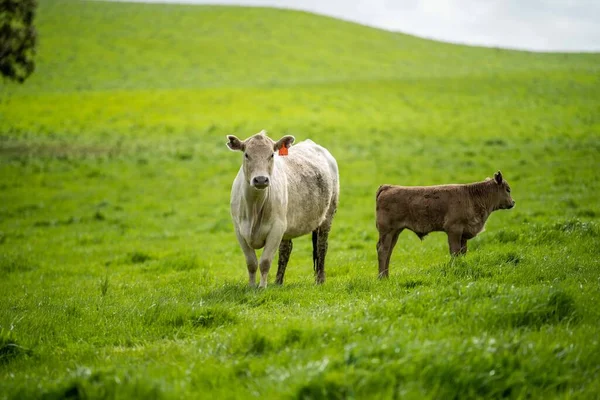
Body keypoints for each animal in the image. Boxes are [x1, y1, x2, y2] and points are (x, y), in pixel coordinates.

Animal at [227, 131, 338, 288]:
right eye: (246, 154)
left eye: (272, 155)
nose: (261, 179)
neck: (254, 207)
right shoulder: (239, 230)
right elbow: (251, 263)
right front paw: (252, 286)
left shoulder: (276, 228)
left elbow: (265, 262)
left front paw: (262, 287)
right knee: (285, 249)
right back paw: (278, 282)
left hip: (328, 215)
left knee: (321, 246)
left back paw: (320, 280)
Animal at [378, 171, 512, 278]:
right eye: (508, 189)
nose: (513, 202)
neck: (471, 196)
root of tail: (388, 187)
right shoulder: (454, 230)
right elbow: (455, 251)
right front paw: (454, 267)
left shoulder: (463, 234)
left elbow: (462, 252)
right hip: (387, 231)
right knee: (383, 250)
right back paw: (382, 277)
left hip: (395, 232)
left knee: (389, 250)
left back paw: (386, 276)